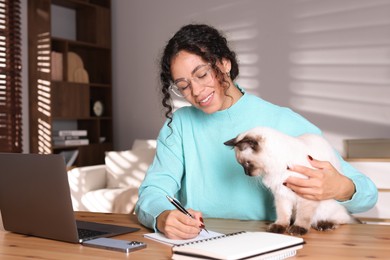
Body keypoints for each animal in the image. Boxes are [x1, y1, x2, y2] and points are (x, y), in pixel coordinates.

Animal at [224, 127, 358, 237]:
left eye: (246, 164)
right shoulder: (281, 194)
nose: (246, 173)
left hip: (327, 207)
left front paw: (297, 229)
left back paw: (325, 225)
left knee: (342, 219)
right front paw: (279, 227)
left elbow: (303, 216)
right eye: (242, 165)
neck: (276, 170)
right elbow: (283, 214)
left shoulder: (306, 194)